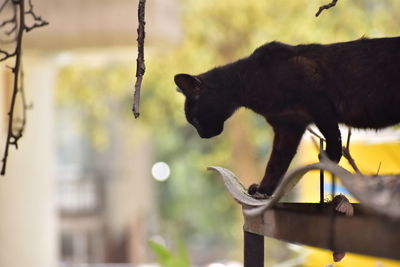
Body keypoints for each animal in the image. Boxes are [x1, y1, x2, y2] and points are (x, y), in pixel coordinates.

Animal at [174, 36, 400, 197]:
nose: (202, 136)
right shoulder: (288, 127)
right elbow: (276, 163)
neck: (247, 83)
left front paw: (329, 158)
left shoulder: (317, 102)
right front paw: (263, 190)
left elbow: (332, 135)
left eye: (195, 119)